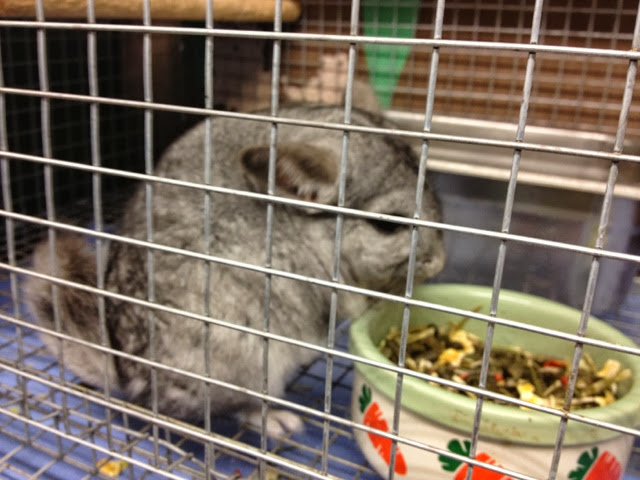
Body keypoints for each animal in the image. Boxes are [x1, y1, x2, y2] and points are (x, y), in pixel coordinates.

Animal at [25, 104, 445, 437]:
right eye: (388, 226)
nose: (440, 262)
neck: (299, 226)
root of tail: (133, 378)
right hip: (248, 360)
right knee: (236, 408)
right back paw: (278, 421)